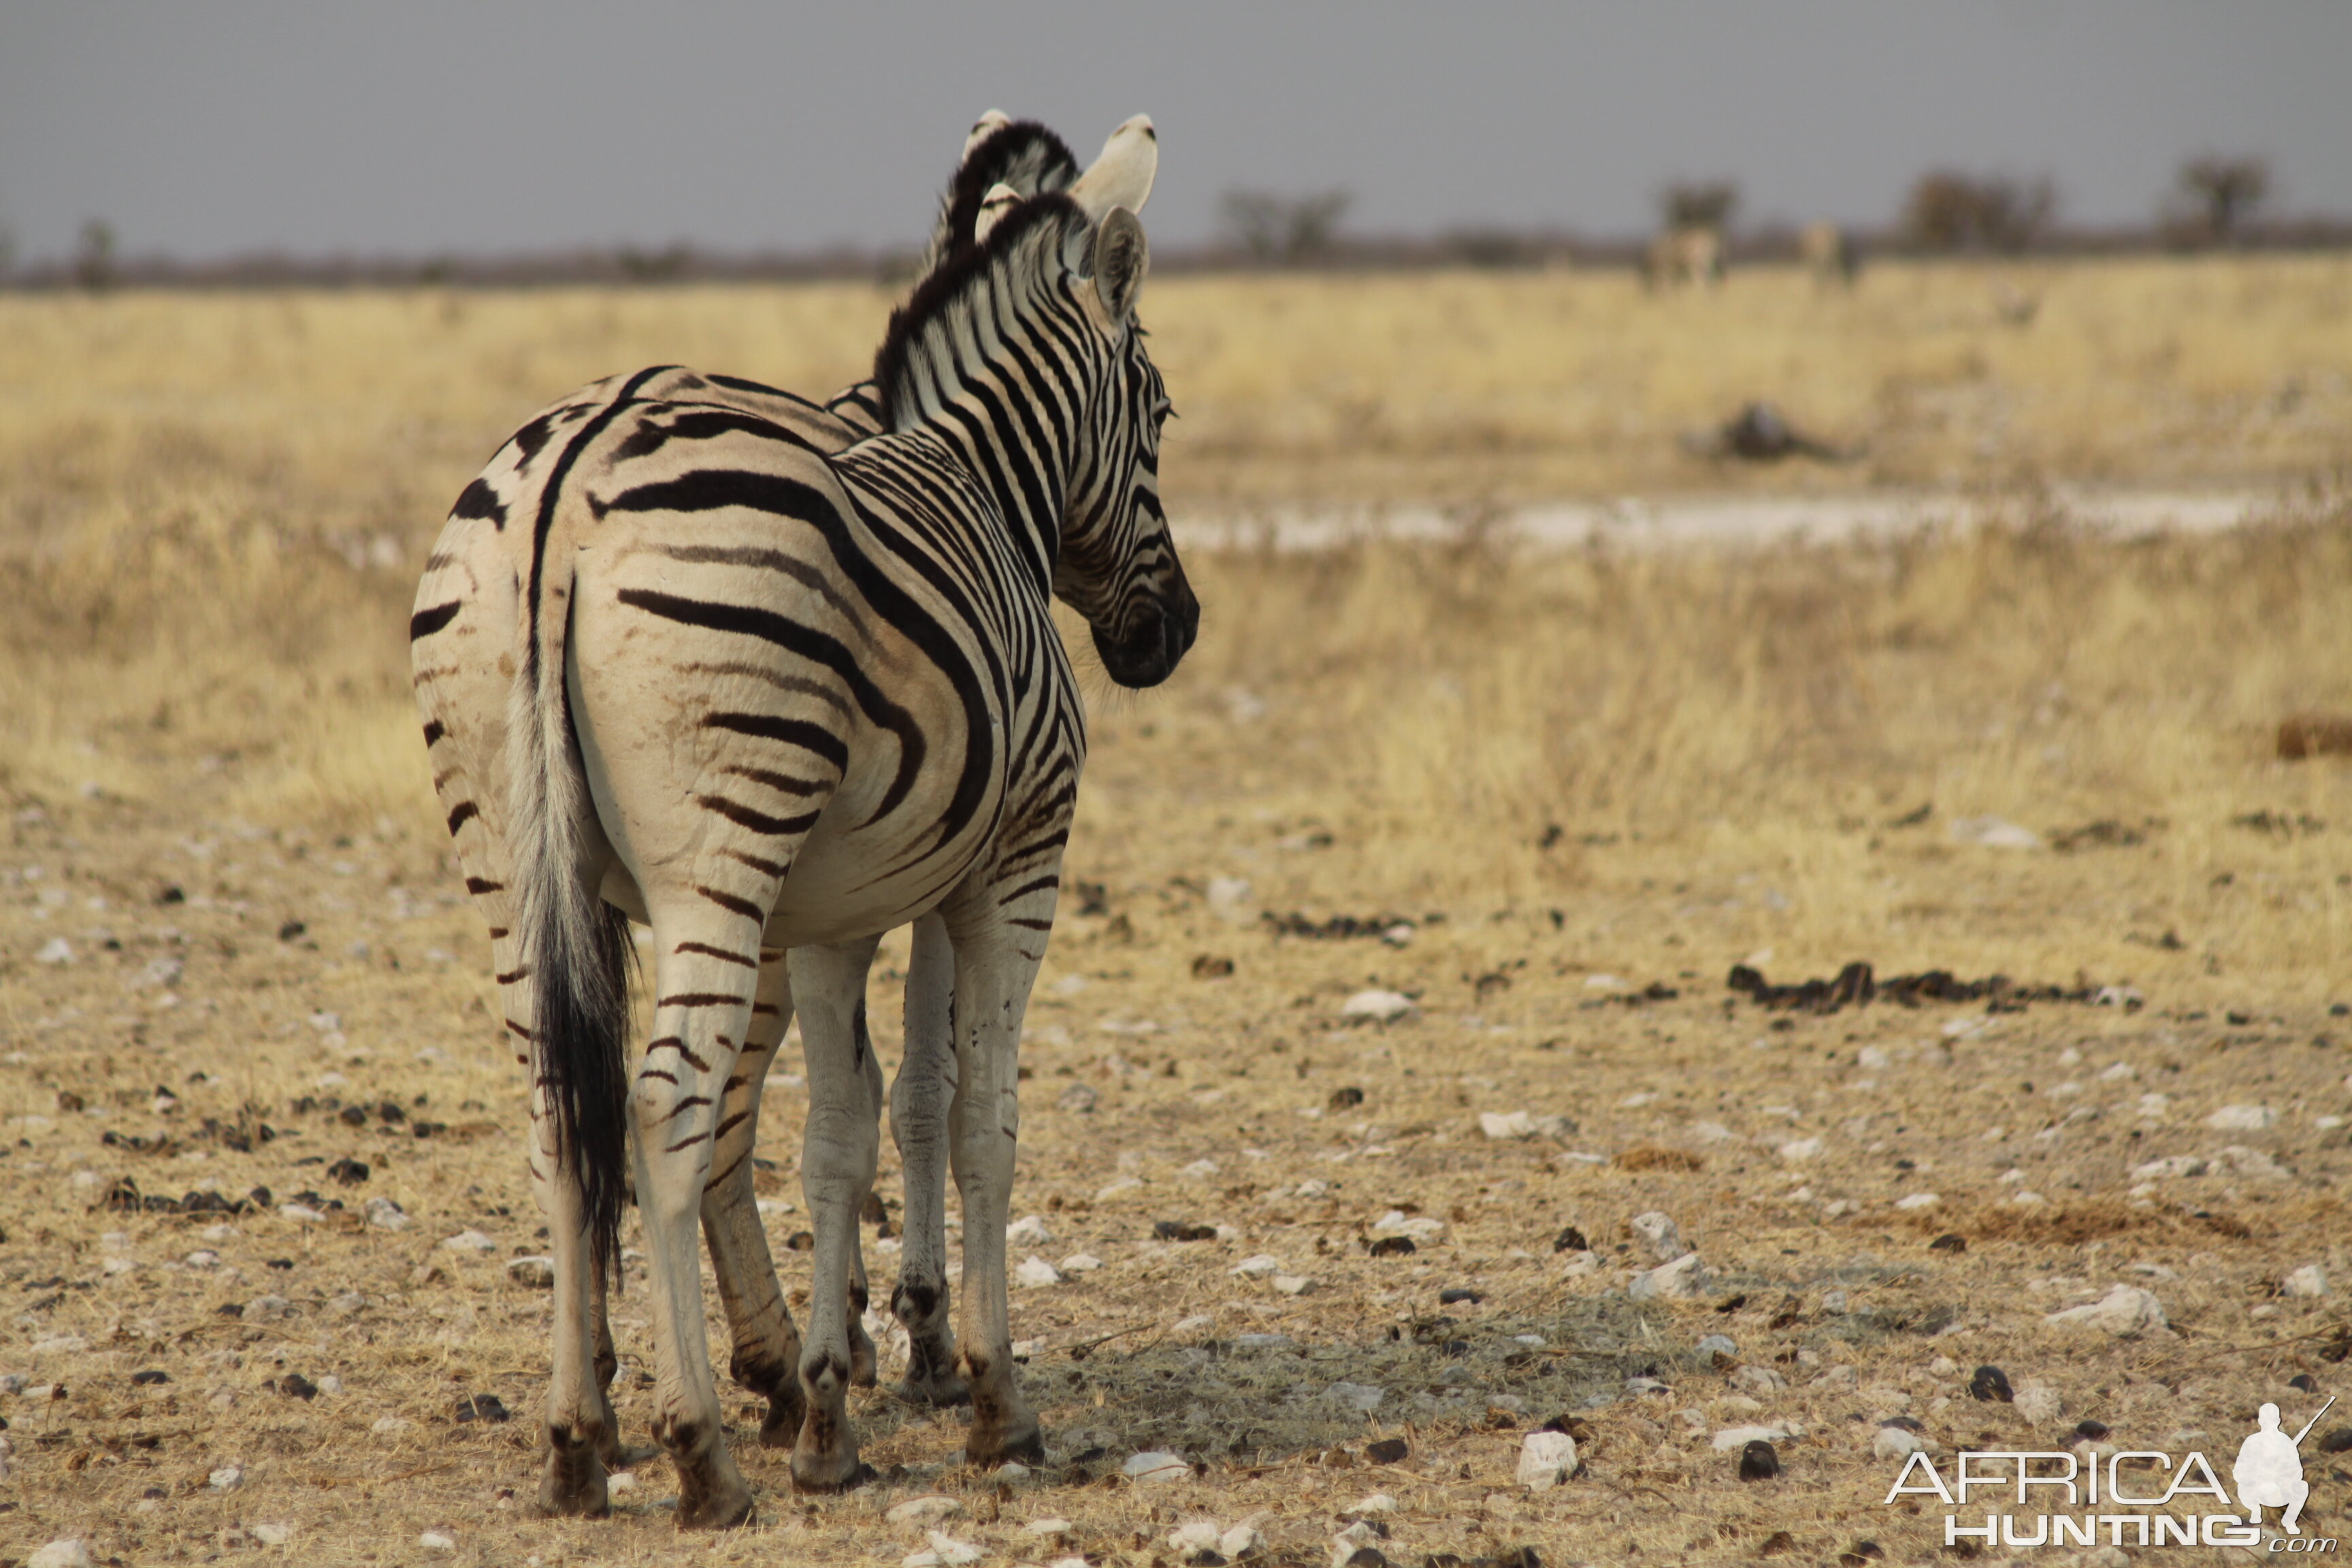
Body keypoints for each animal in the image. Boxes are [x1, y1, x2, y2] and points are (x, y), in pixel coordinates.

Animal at [409, 122, 1194, 1523]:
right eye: (1159, 413)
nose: (1175, 634)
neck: (978, 477)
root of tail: (567, 483)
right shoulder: (1005, 865)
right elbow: (967, 1108)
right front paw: (980, 1386)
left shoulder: (846, 898)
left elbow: (849, 1118)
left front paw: (843, 1386)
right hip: (723, 851)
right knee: (673, 1106)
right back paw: (704, 1447)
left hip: (510, 856)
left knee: (571, 1111)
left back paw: (584, 1432)